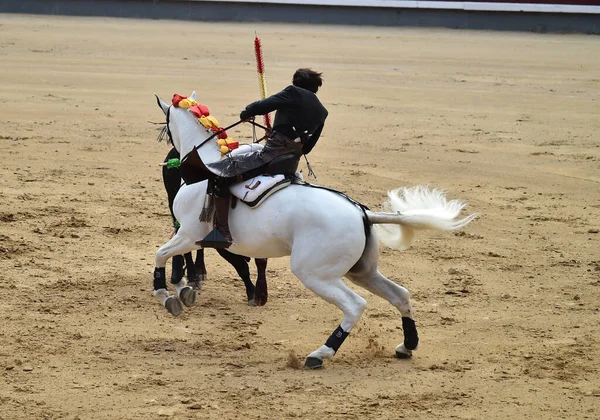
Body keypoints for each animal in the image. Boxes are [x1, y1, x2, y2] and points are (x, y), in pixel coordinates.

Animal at [163, 148, 268, 306]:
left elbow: (259, 261)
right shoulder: (223, 245)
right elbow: (241, 266)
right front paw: (252, 292)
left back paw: (200, 270)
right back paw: (193, 276)